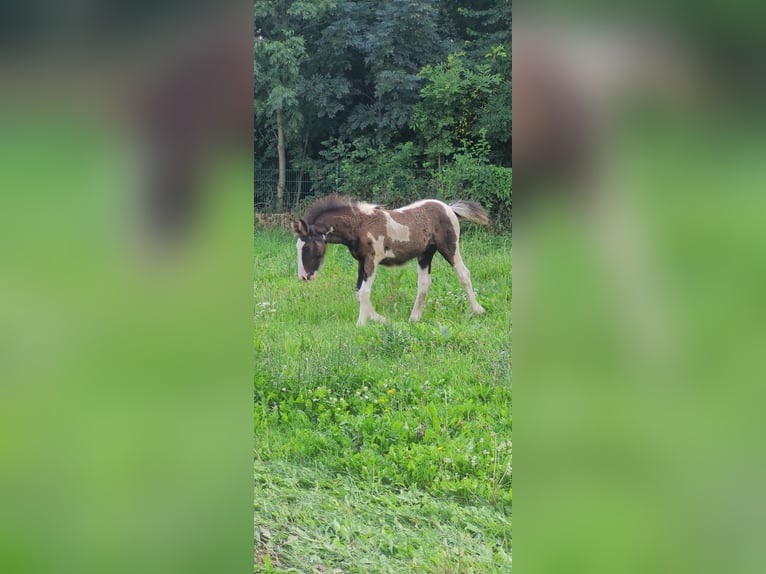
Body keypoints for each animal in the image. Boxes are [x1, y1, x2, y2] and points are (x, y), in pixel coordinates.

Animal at [292, 196, 488, 326]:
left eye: (307, 247)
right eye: (297, 246)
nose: (303, 276)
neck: (359, 225)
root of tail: (448, 208)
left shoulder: (371, 260)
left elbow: (364, 292)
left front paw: (361, 324)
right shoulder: (361, 261)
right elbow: (358, 291)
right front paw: (380, 318)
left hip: (449, 247)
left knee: (463, 274)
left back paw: (478, 310)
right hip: (425, 254)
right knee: (424, 282)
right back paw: (414, 318)